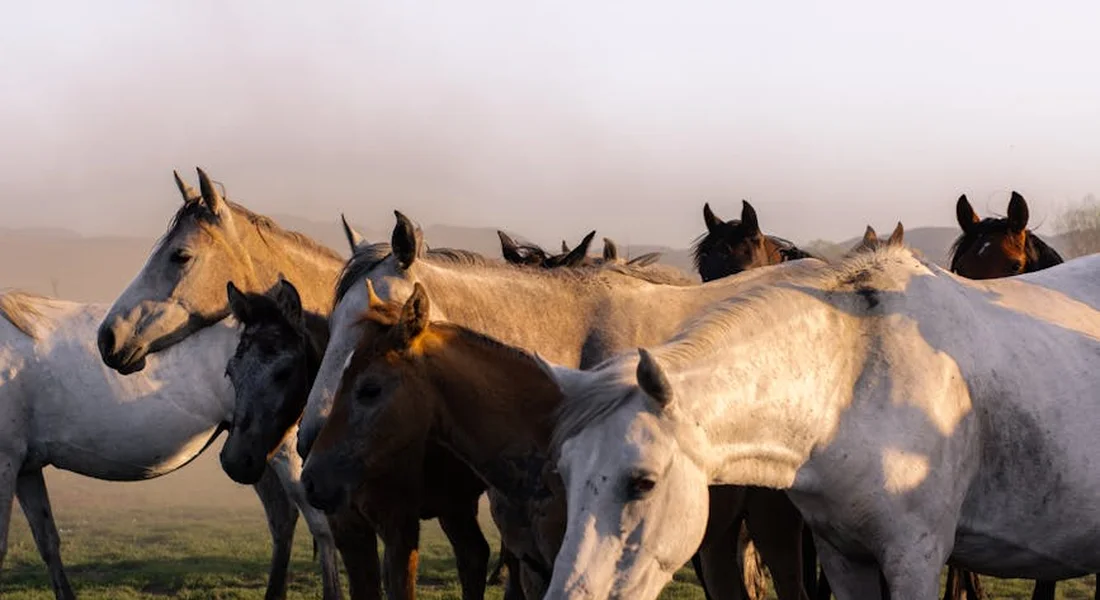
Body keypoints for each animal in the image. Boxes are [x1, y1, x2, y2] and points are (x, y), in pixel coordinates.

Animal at [0, 290, 340, 600]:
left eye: (283, 373)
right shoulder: (26, 469)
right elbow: (47, 541)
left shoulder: (6, 464)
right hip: (254, 455)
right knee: (282, 519)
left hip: (283, 454)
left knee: (320, 526)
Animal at [539, 244, 1100, 600]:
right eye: (564, 475)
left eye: (642, 482)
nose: (568, 595)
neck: (853, 383)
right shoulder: (844, 557)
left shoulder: (915, 558)